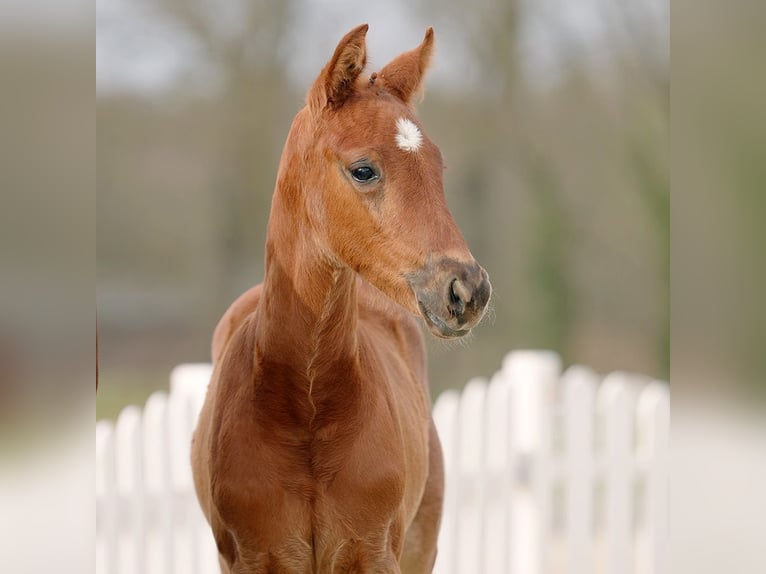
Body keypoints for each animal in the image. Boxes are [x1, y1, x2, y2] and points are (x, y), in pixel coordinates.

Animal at [192, 25, 492, 574]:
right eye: (364, 170)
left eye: (438, 166)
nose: (467, 289)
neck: (308, 409)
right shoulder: (253, 557)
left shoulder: (371, 552)